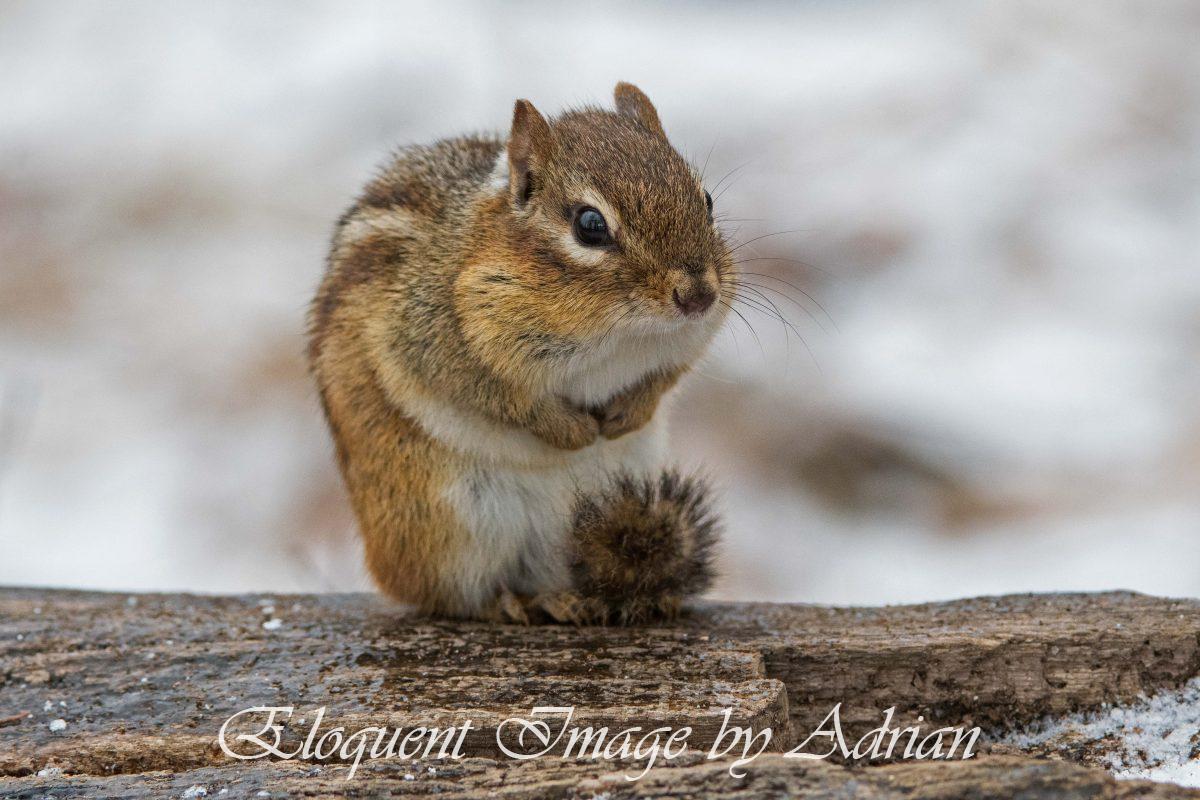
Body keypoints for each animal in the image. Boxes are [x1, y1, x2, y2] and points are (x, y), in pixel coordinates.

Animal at [308, 83, 731, 623]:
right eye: (590, 225)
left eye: (706, 199)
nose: (698, 295)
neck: (623, 336)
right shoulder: (430, 341)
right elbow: (502, 397)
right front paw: (573, 431)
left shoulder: (686, 341)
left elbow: (668, 374)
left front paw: (628, 412)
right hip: (449, 527)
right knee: (454, 596)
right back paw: (519, 602)